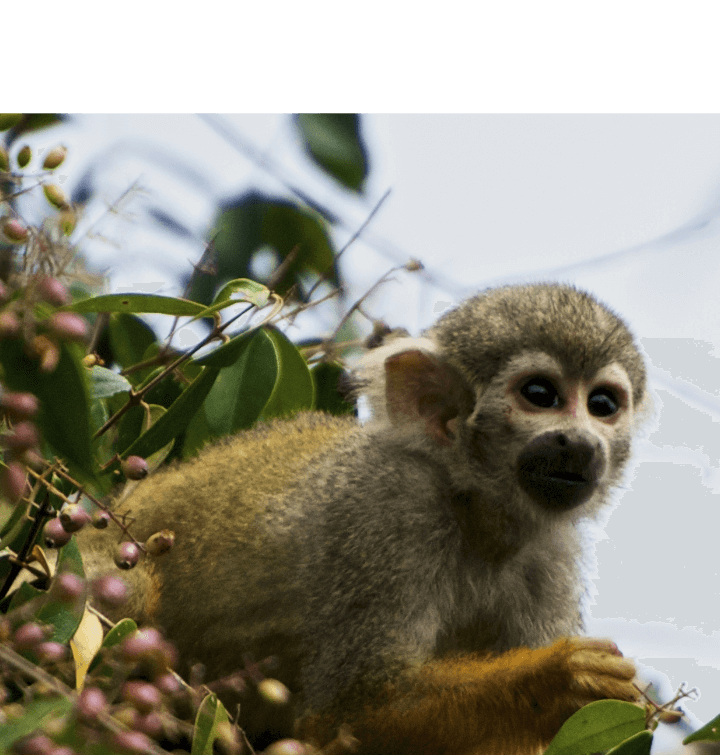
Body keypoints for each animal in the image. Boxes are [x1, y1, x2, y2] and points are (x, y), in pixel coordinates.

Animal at [79, 284, 648, 755]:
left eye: (601, 404)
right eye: (540, 396)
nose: (578, 441)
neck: (473, 506)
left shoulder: (550, 561)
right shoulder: (387, 511)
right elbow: (353, 709)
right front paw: (561, 677)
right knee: (125, 595)